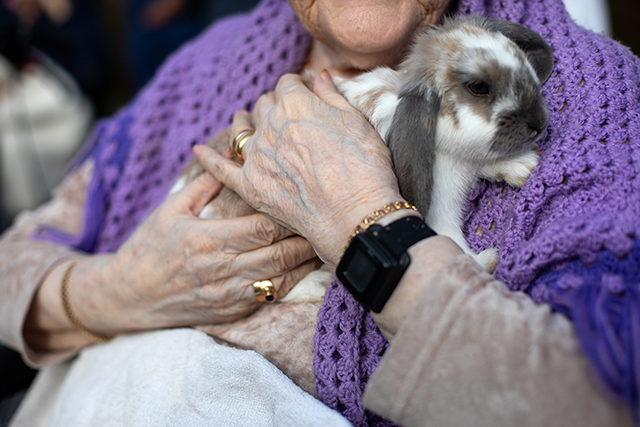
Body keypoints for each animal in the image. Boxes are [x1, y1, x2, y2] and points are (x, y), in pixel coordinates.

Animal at [336, 15, 556, 274]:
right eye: (478, 87)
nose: (539, 123)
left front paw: (524, 165)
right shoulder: (441, 209)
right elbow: (454, 244)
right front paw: (488, 260)